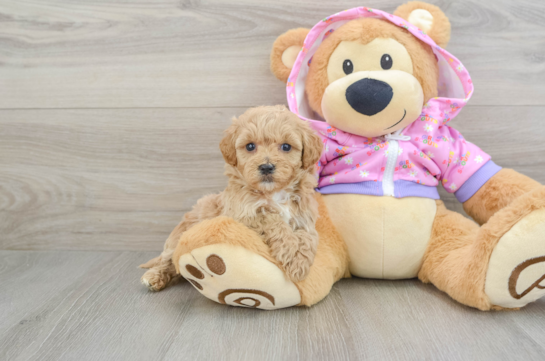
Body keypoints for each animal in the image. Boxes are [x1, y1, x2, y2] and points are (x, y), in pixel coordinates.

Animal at [140, 105, 324, 290]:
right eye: (250, 146)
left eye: (286, 146)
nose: (266, 167)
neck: (274, 193)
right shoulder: (242, 216)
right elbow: (271, 219)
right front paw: (291, 252)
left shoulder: (304, 218)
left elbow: (308, 238)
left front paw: (299, 261)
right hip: (178, 238)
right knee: (167, 260)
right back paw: (153, 276)